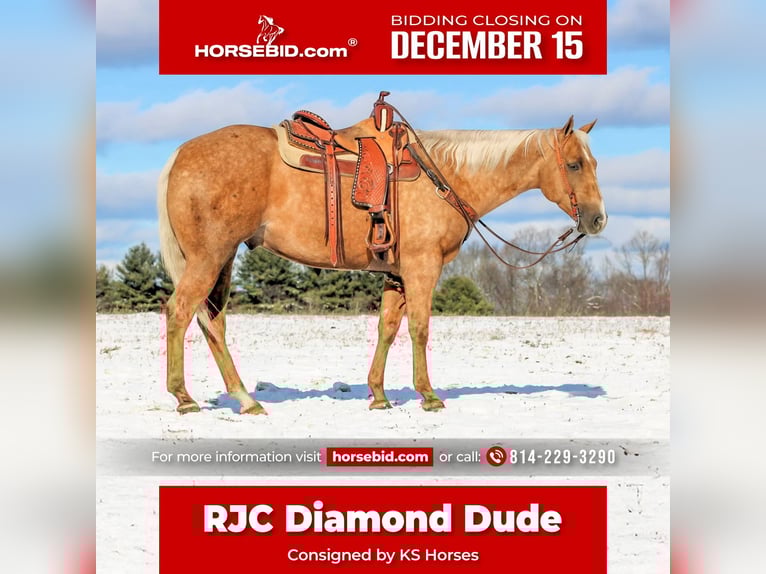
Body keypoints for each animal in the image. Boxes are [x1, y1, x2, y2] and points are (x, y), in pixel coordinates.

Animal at [157, 111, 606, 415]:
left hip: (222, 260)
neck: (446, 177)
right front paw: (428, 395)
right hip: (209, 258)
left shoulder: (396, 276)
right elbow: (420, 329)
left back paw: (245, 399)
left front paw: (378, 395)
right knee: (180, 312)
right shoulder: (423, 269)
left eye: (594, 163)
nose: (597, 219)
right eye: (573, 164)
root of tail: (179, 154)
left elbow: (387, 329)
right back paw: (184, 397)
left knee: (212, 323)